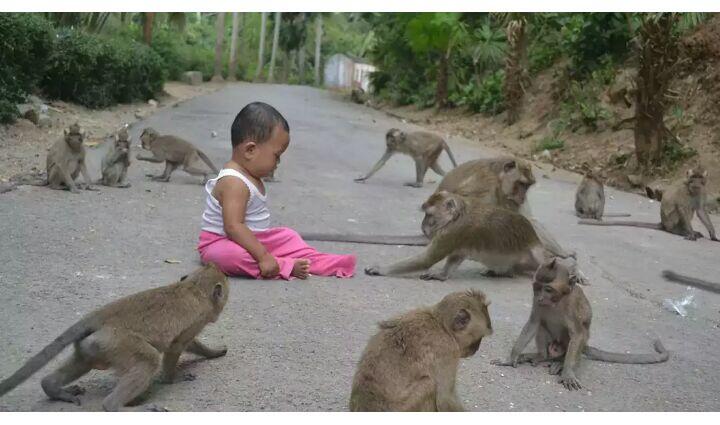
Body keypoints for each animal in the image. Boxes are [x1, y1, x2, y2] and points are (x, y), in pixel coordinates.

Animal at [0, 264, 229, 410]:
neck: (194, 288)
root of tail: (98, 316)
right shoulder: (198, 319)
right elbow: (177, 345)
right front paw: (173, 379)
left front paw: (213, 352)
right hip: (119, 342)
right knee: (148, 361)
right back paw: (117, 406)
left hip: (96, 343)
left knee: (83, 361)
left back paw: (52, 387)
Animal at [348, 288, 490, 410]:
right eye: (479, 338)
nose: (476, 349)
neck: (441, 324)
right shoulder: (447, 350)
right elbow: (445, 399)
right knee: (429, 384)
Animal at [366, 190, 544, 280]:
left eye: (429, 215)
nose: (423, 227)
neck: (457, 216)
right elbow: (456, 256)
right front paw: (442, 275)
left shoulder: (453, 232)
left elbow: (425, 260)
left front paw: (380, 269)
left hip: (536, 254)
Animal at [496, 256, 668, 390]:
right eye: (537, 287)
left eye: (548, 289)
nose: (540, 298)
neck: (556, 302)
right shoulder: (536, 302)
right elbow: (533, 323)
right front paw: (511, 358)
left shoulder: (572, 306)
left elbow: (578, 333)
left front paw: (568, 373)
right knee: (542, 327)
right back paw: (541, 356)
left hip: (572, 346)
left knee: (580, 336)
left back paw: (560, 362)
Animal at [584, 168, 716, 242]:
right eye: (693, 177)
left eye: (700, 178)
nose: (696, 183)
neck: (692, 190)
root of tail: (663, 223)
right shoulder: (683, 191)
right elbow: (682, 208)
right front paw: (691, 233)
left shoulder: (702, 191)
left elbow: (701, 211)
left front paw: (713, 235)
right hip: (671, 222)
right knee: (680, 211)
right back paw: (680, 231)